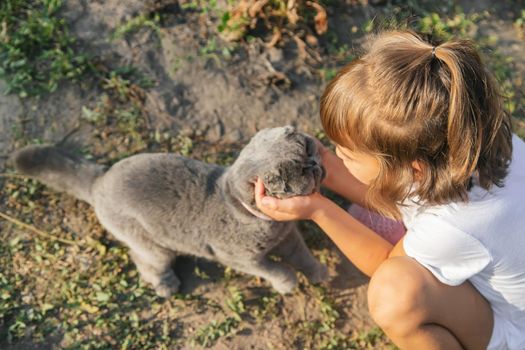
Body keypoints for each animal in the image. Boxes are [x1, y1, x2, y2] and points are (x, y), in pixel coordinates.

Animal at [13, 126, 328, 296]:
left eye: (308, 148)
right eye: (300, 170)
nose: (315, 163)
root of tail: (99, 179)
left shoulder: (289, 237)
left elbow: (303, 256)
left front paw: (318, 273)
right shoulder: (241, 258)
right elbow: (274, 268)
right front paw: (288, 283)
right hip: (153, 246)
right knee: (143, 260)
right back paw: (166, 285)